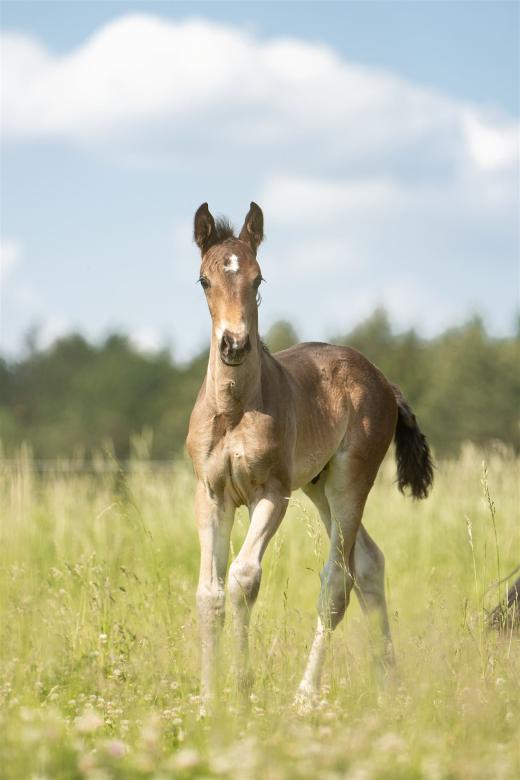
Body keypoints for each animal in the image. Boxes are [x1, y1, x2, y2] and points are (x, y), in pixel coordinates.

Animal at [186, 201, 433, 706]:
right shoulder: (211, 495)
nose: (234, 344)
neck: (234, 411)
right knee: (369, 563)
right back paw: (390, 683)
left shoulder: (272, 494)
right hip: (319, 486)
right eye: (203, 280)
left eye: (258, 278)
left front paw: (241, 688)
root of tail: (383, 380)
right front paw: (208, 697)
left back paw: (305, 694)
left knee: (338, 579)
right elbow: (210, 594)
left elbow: (244, 578)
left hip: (349, 481)